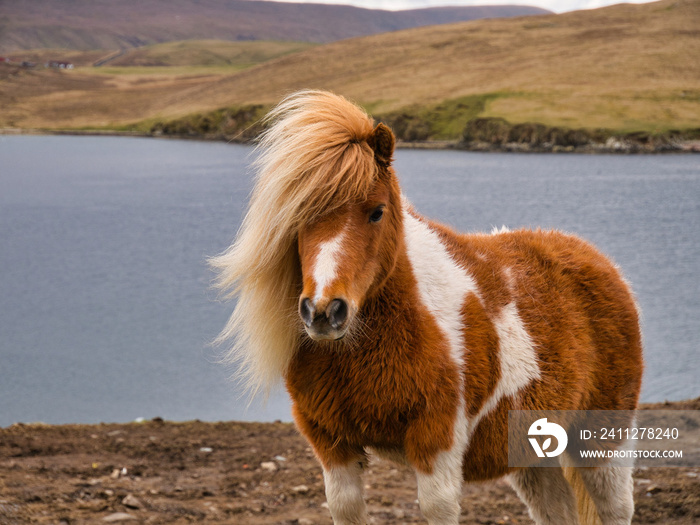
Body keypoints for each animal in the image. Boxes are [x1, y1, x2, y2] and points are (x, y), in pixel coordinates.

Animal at [211, 91, 644, 524]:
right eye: (299, 215)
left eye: (377, 211)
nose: (323, 312)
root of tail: (599, 262)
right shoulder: (333, 445)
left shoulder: (437, 446)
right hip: (533, 452)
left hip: (603, 443)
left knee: (616, 508)